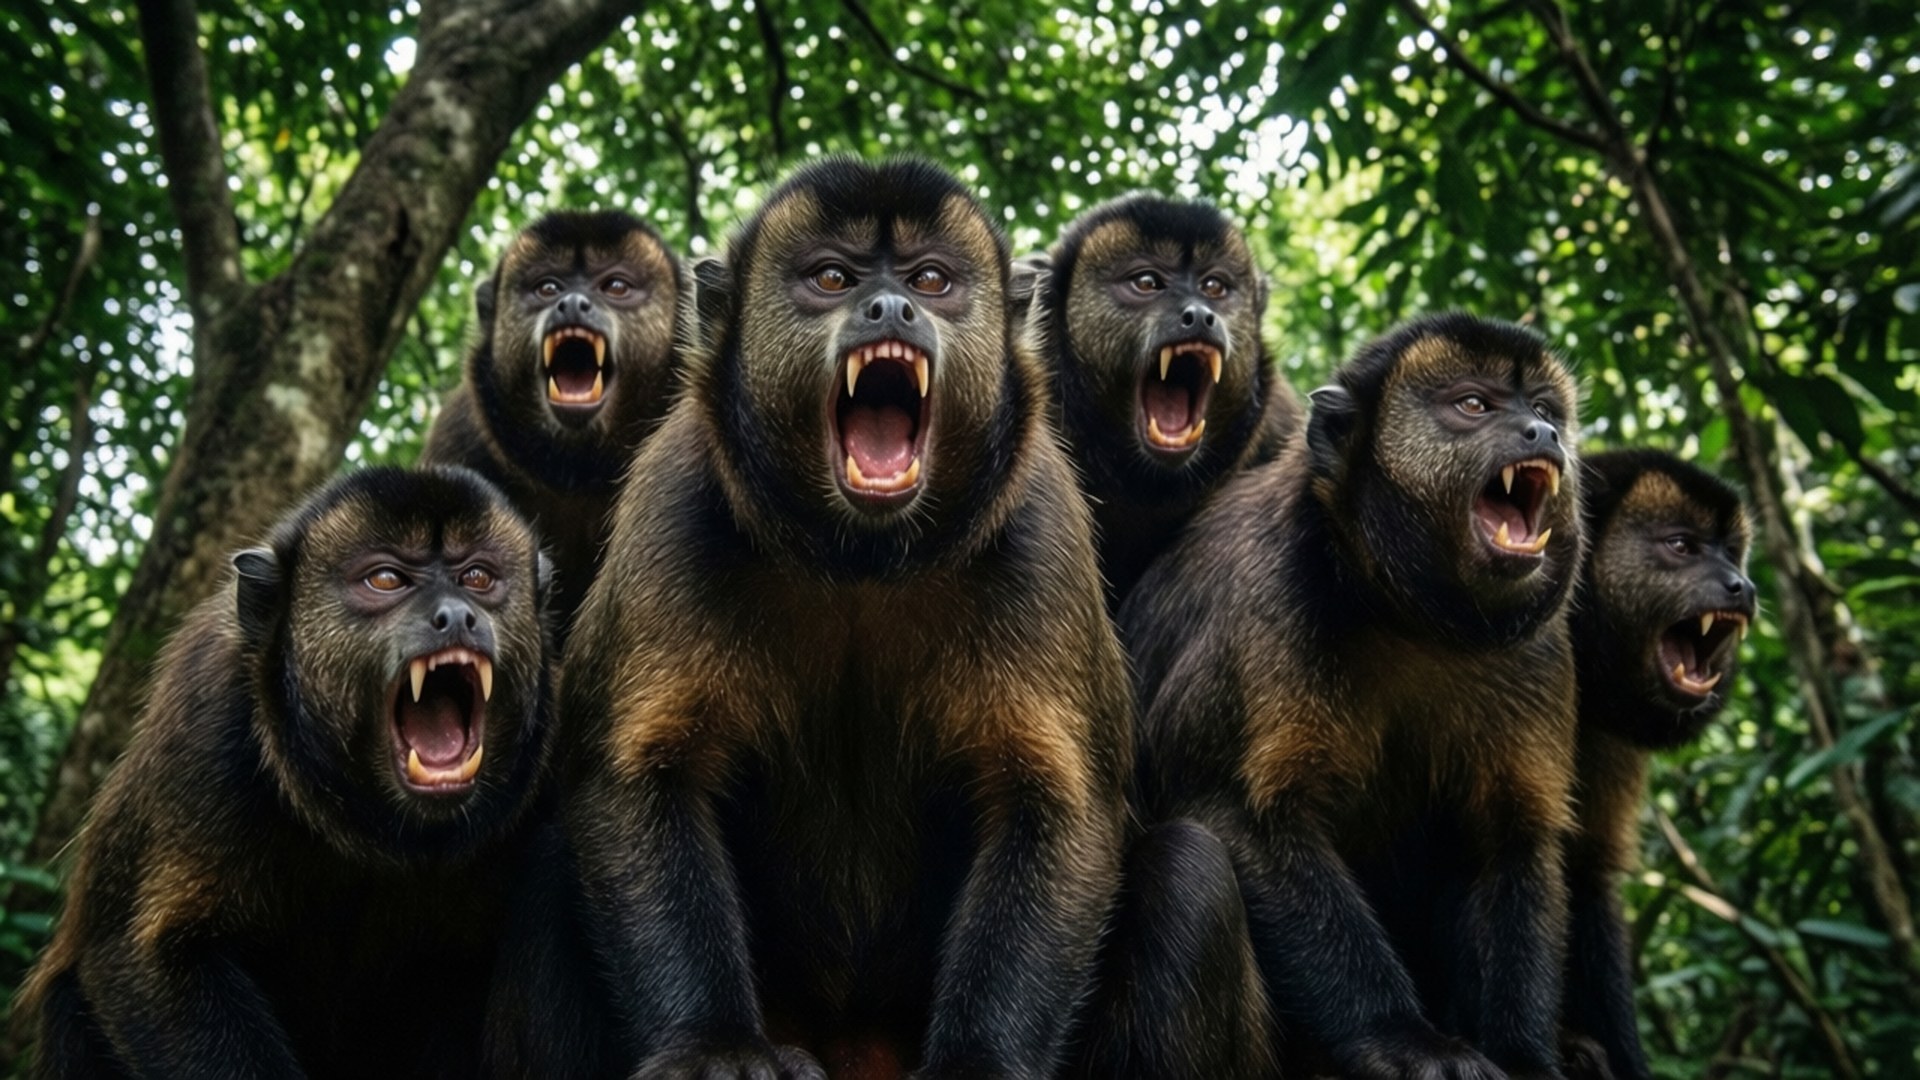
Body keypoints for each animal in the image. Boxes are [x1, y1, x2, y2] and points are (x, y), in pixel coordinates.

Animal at [506, 157, 1132, 1080]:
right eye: (833, 278)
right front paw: (714, 1043)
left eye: (931, 281)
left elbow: (1054, 807)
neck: (858, 566)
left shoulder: (1040, 526)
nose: (890, 307)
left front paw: (978, 1060)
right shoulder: (677, 495)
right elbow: (639, 780)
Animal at [1120, 313, 1588, 1079]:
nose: (1541, 433)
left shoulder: (1541, 648)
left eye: (1545, 409)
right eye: (1475, 406)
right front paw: (1403, 1038)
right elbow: (1234, 811)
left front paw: (1525, 1056)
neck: (1410, 619)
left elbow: (1508, 843)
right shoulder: (1276, 585)